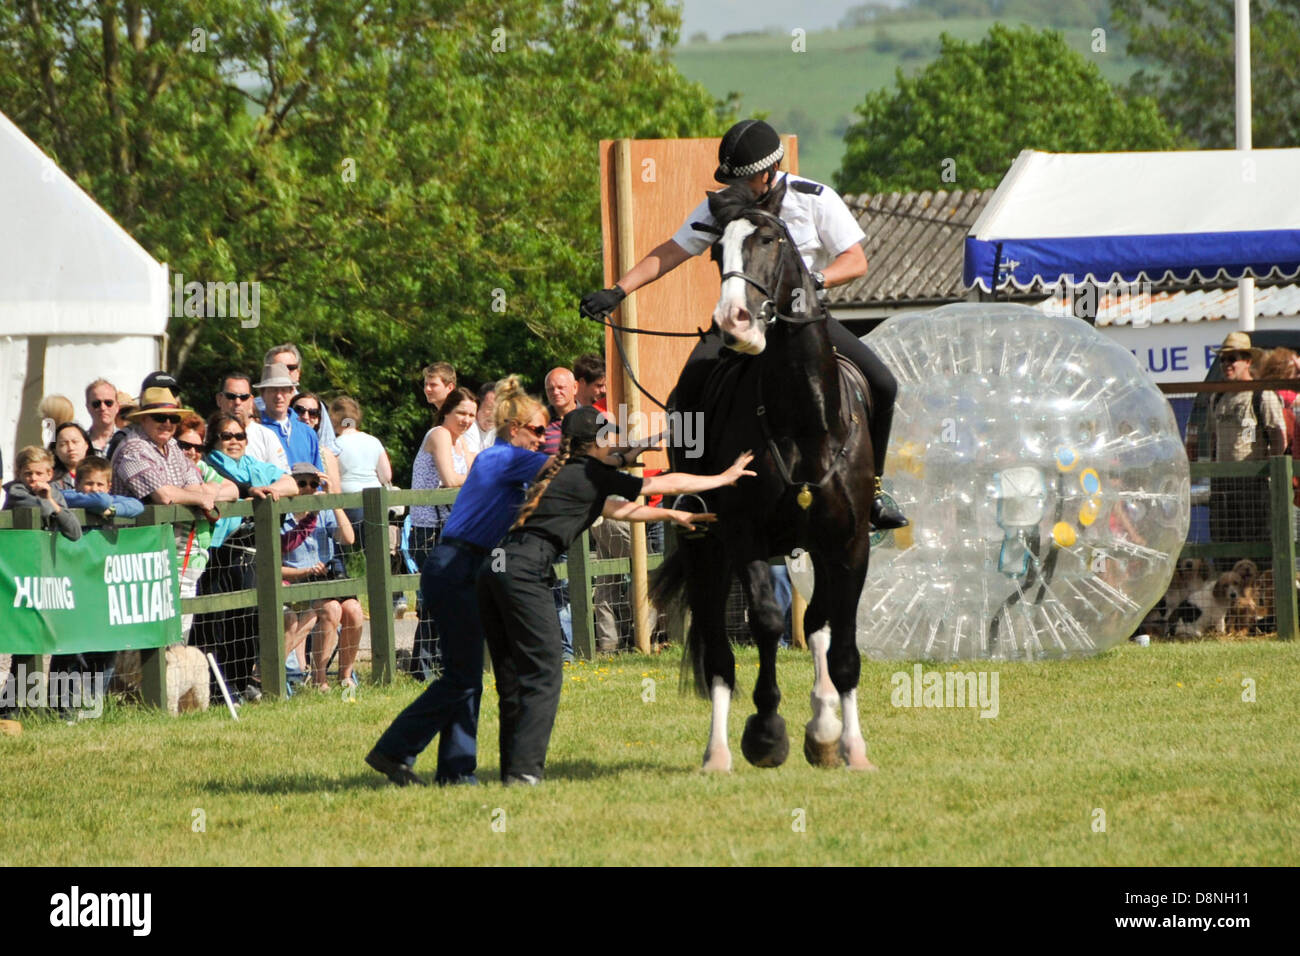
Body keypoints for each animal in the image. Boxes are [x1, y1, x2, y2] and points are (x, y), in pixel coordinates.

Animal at [652, 178, 878, 771]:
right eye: (715, 252)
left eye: (772, 240)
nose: (733, 322)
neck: (804, 418)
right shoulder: (745, 537)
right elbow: (770, 623)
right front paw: (767, 732)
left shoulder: (849, 544)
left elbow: (840, 642)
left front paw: (847, 743)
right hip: (705, 551)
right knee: (717, 652)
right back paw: (719, 753)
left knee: (818, 623)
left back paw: (823, 725)